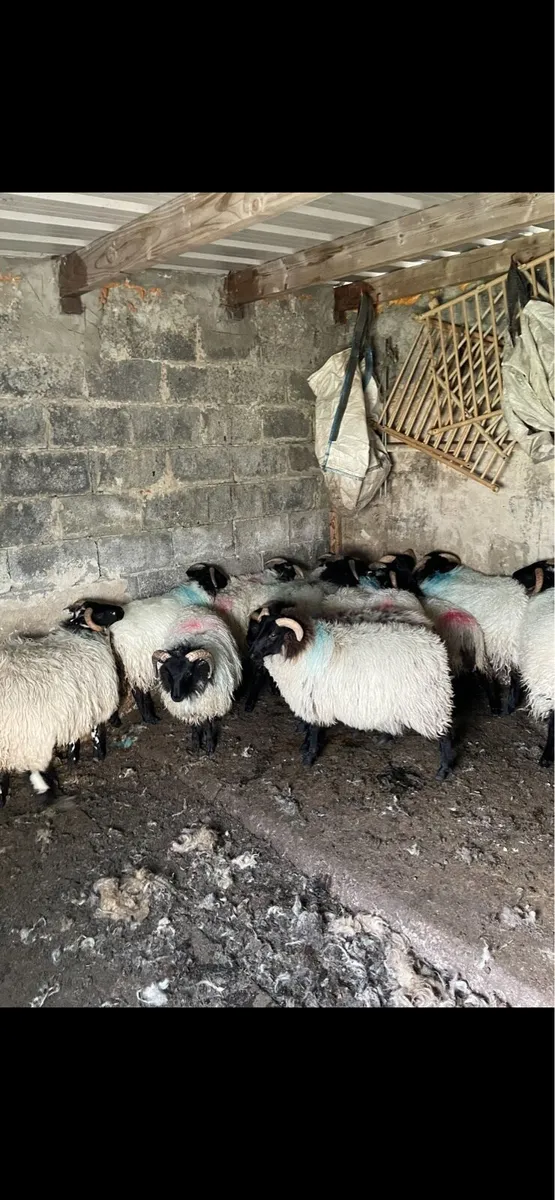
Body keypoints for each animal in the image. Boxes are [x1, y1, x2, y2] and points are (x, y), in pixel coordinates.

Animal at [0, 603, 124, 808]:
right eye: (100, 612)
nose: (121, 611)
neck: (80, 632)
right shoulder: (93, 700)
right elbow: (95, 732)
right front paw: (97, 757)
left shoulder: (75, 706)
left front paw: (72, 761)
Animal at [152, 607, 242, 753]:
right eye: (168, 673)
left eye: (188, 673)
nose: (176, 697)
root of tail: (198, 609)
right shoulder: (190, 709)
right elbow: (194, 726)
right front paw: (195, 745)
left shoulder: (209, 704)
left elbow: (208, 724)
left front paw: (210, 746)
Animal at [247, 604, 455, 780]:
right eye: (259, 630)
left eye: (274, 634)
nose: (251, 654)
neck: (301, 649)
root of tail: (436, 646)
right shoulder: (308, 699)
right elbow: (308, 725)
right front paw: (304, 744)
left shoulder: (315, 700)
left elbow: (314, 729)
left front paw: (309, 756)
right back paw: (385, 737)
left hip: (429, 701)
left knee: (445, 734)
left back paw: (443, 770)